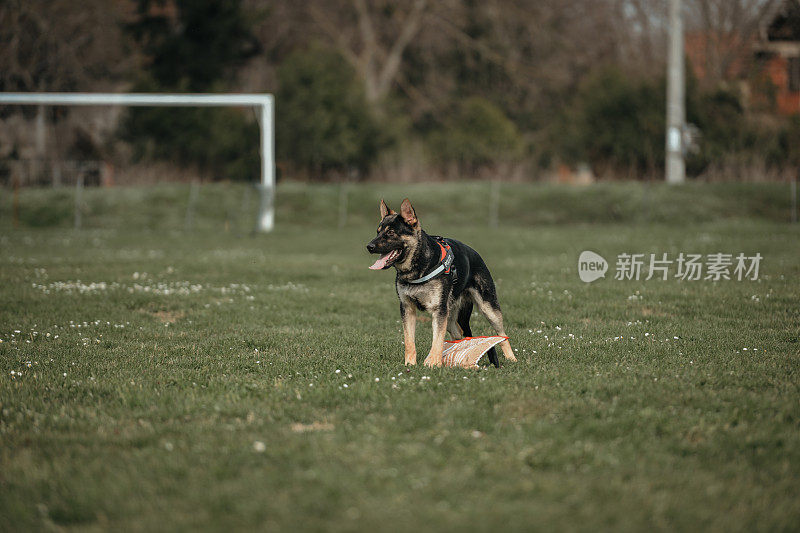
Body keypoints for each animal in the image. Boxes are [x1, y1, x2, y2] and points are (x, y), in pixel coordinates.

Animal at [366, 197, 516, 368]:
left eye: (390, 233)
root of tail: (476, 254)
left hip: (488, 308)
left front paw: (433, 364)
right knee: (459, 333)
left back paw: (511, 358)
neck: (419, 266)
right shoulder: (407, 308)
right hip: (451, 317)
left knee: (502, 335)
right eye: (378, 232)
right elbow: (409, 340)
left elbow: (437, 340)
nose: (369, 246)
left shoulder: (438, 310)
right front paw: (410, 364)